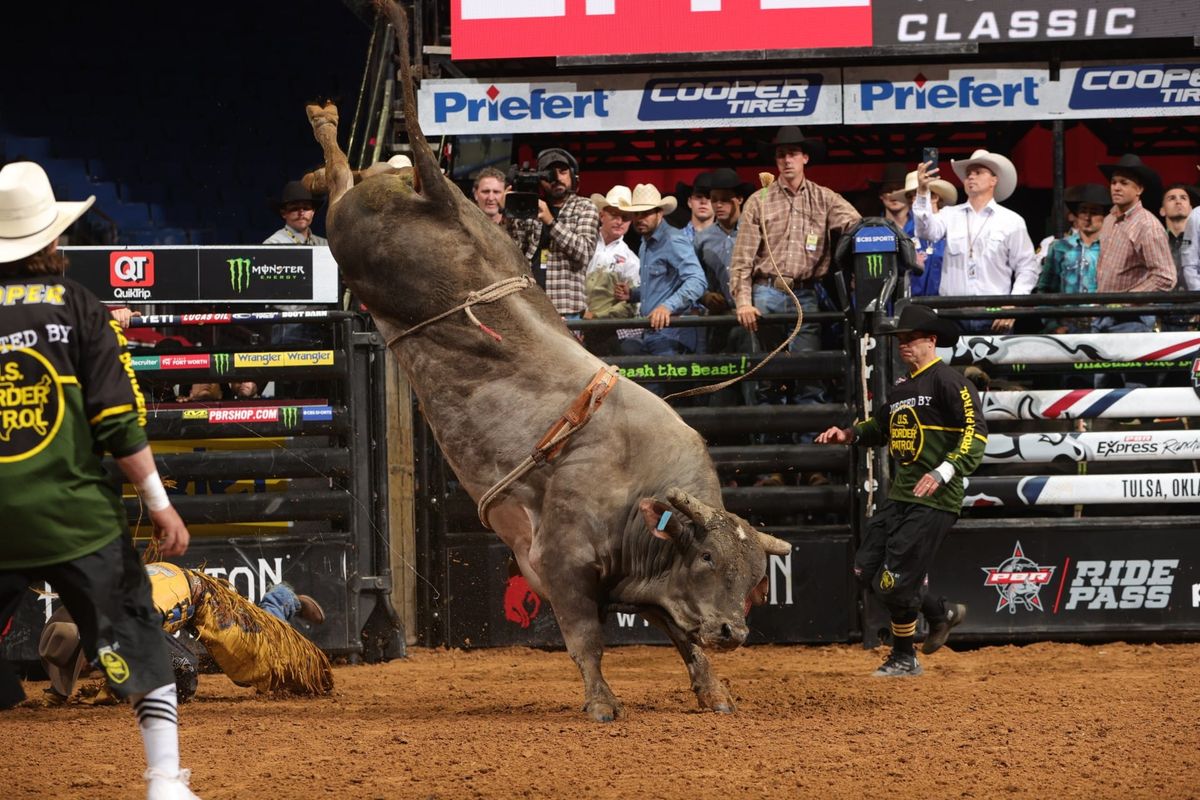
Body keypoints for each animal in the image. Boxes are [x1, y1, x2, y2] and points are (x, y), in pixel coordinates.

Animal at [304, 0, 792, 722]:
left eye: (756, 573)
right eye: (707, 557)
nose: (734, 631)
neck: (637, 490)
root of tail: (442, 200)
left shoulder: (652, 587)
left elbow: (682, 639)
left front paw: (714, 689)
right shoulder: (561, 565)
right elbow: (586, 638)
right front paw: (602, 704)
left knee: (352, 175)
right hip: (355, 241)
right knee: (342, 181)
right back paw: (325, 127)